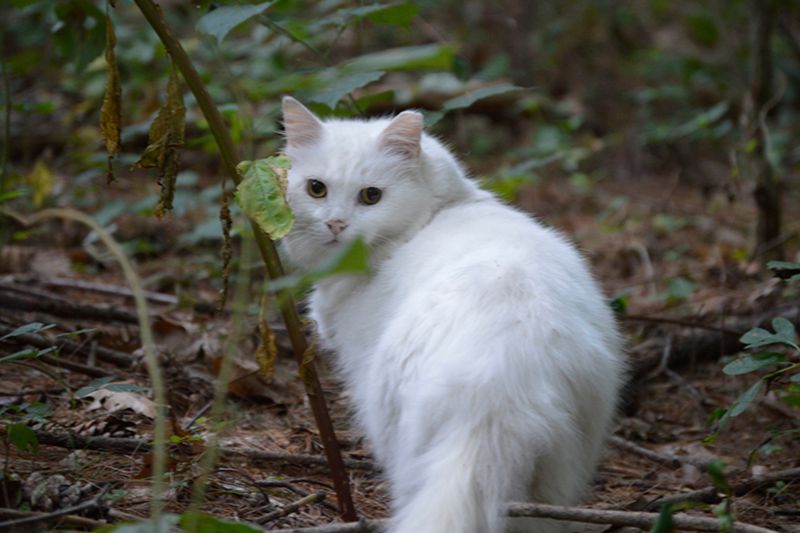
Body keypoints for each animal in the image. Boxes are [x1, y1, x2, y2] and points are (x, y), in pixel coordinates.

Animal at [282, 96, 624, 532]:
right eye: (316, 189)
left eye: (371, 196)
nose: (336, 224)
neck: (438, 212)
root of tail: (498, 388)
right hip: (559, 475)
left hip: (393, 428)